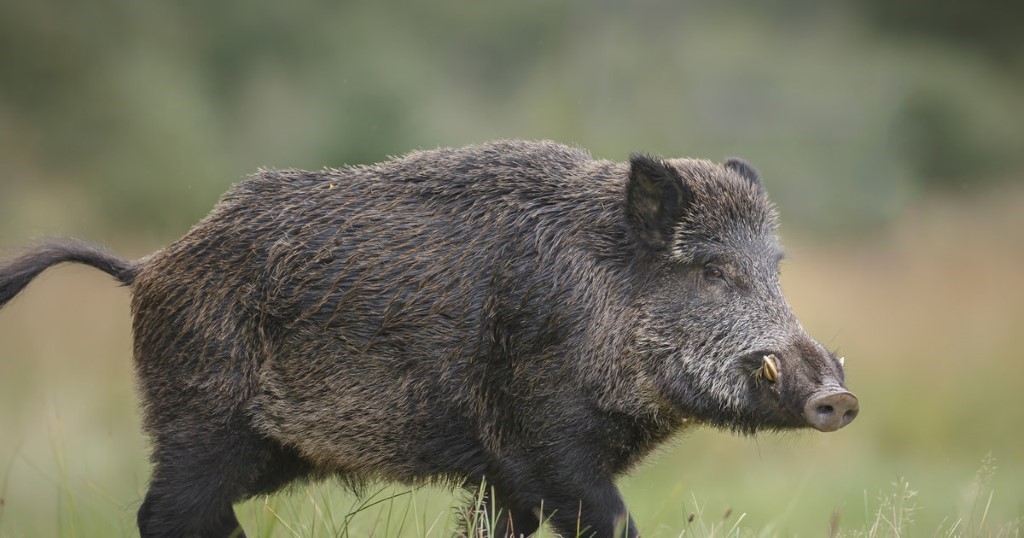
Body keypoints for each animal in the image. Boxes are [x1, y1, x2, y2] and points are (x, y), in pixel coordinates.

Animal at [0, 140, 858, 538]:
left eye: (775, 267)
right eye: (711, 270)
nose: (840, 398)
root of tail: (148, 265)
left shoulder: (506, 472)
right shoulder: (545, 440)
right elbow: (611, 519)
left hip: (263, 448)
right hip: (199, 420)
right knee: (163, 513)